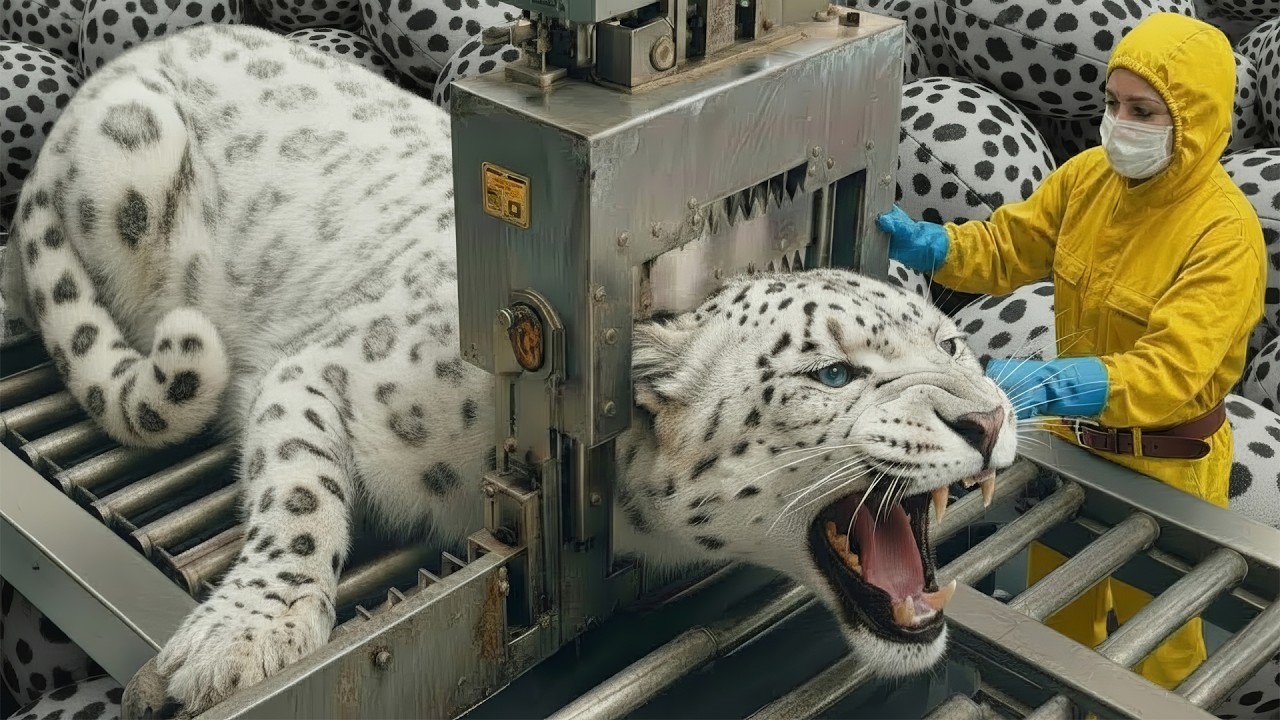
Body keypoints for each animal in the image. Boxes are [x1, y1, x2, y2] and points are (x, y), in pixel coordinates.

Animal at [0, 23, 1019, 715]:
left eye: (950, 345)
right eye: (833, 375)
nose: (989, 420)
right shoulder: (319, 372)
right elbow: (299, 495)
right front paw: (245, 637)